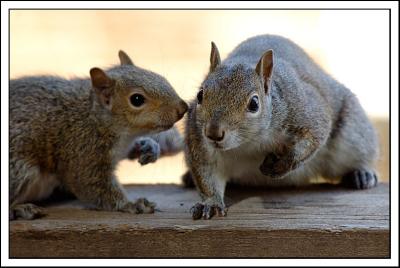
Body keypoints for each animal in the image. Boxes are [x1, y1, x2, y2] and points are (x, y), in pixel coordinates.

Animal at [9, 50, 189, 220]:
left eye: (160, 77)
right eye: (137, 99)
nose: (182, 108)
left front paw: (149, 146)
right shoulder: (82, 150)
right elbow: (91, 184)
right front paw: (131, 204)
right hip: (19, 171)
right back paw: (19, 209)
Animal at [184, 35, 378, 220]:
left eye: (254, 104)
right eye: (200, 95)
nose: (213, 133)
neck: (247, 143)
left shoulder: (305, 111)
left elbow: (314, 135)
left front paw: (282, 164)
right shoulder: (198, 141)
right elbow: (206, 175)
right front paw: (211, 203)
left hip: (352, 136)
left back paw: (362, 174)